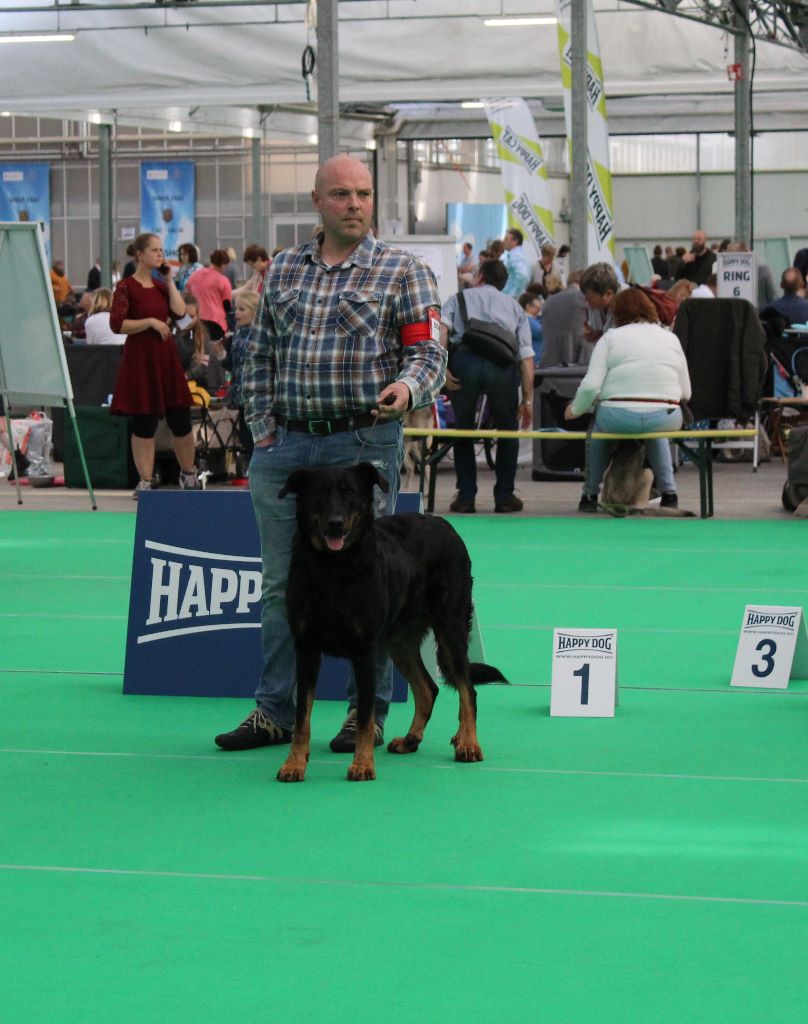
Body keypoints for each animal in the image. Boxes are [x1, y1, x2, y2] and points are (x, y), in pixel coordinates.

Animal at [276, 464, 503, 782]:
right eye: (320, 493)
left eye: (350, 493)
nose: (336, 524)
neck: (333, 568)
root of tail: (445, 525)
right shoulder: (306, 647)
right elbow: (302, 719)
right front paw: (294, 763)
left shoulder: (364, 651)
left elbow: (365, 718)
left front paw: (362, 764)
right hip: (399, 642)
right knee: (428, 689)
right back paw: (411, 739)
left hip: (450, 626)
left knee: (467, 688)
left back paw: (468, 742)